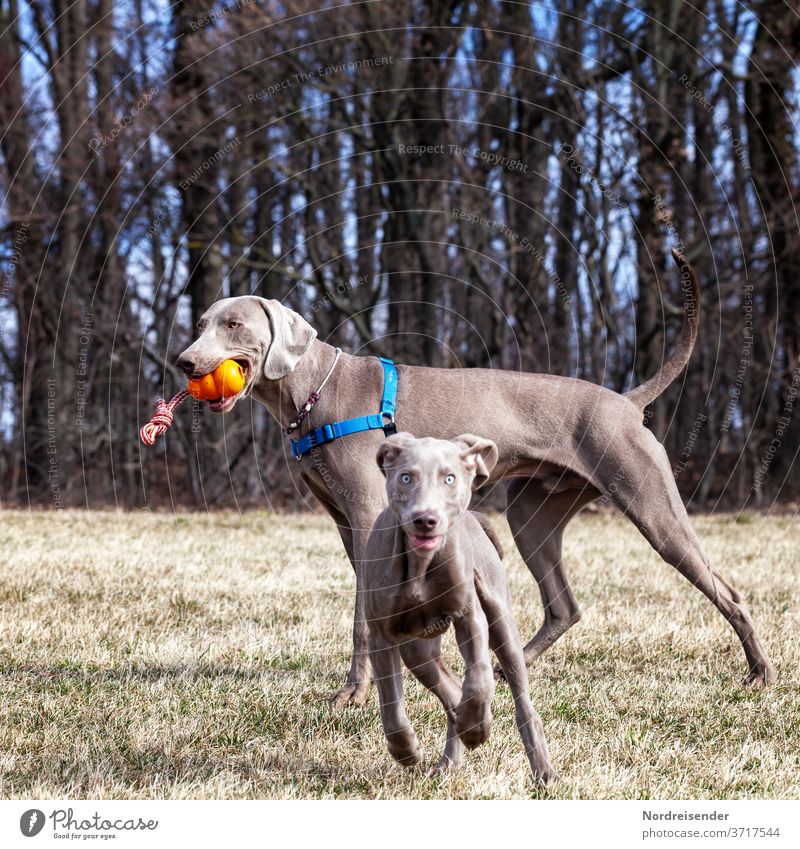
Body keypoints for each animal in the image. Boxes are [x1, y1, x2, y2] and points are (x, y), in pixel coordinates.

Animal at [180, 248, 776, 704]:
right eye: (202, 324)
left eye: (234, 324)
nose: (183, 362)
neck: (313, 392)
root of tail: (626, 402)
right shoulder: (349, 525)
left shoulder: (368, 514)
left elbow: (360, 618)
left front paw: (354, 694)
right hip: (532, 513)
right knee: (563, 606)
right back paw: (507, 667)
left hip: (651, 504)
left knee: (726, 590)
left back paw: (761, 674)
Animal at [364, 434, 556, 784]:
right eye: (406, 477)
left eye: (449, 478)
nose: (425, 519)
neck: (421, 564)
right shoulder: (380, 633)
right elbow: (391, 703)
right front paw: (406, 750)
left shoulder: (469, 615)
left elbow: (480, 679)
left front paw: (477, 729)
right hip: (418, 651)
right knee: (450, 691)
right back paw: (452, 754)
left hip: (501, 620)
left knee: (520, 699)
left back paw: (541, 770)